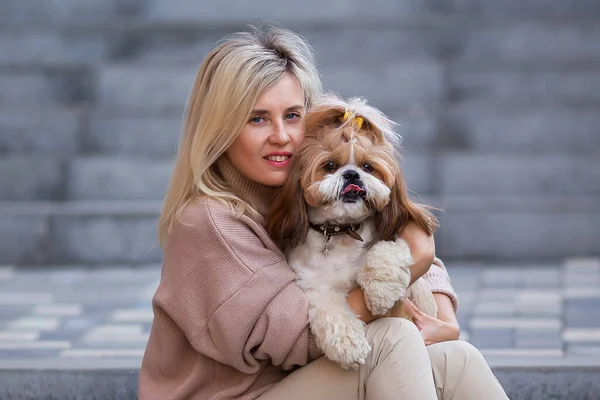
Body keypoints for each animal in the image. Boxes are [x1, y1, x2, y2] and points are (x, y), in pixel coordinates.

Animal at [268, 94, 440, 368]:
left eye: (368, 167)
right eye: (330, 165)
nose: (351, 174)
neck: (340, 231)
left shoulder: (396, 247)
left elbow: (387, 250)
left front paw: (380, 292)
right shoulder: (313, 287)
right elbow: (328, 308)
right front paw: (348, 344)